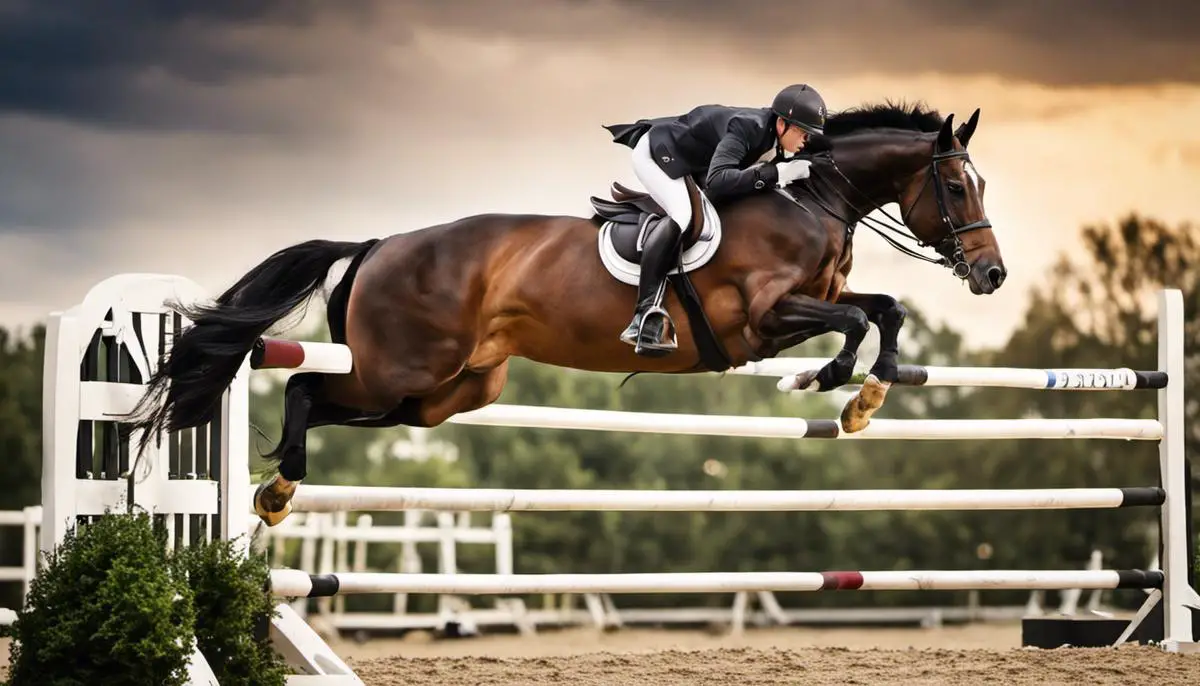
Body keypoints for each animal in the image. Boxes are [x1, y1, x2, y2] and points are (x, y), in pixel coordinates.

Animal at [129, 100, 1003, 525]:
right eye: (957, 188)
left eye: (980, 185)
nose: (992, 274)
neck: (809, 199)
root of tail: (381, 244)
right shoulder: (761, 318)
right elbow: (852, 324)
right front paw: (834, 385)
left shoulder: (814, 299)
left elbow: (883, 309)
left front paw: (871, 393)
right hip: (398, 369)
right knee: (304, 388)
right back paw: (279, 492)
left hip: (442, 394)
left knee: (327, 400)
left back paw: (279, 492)